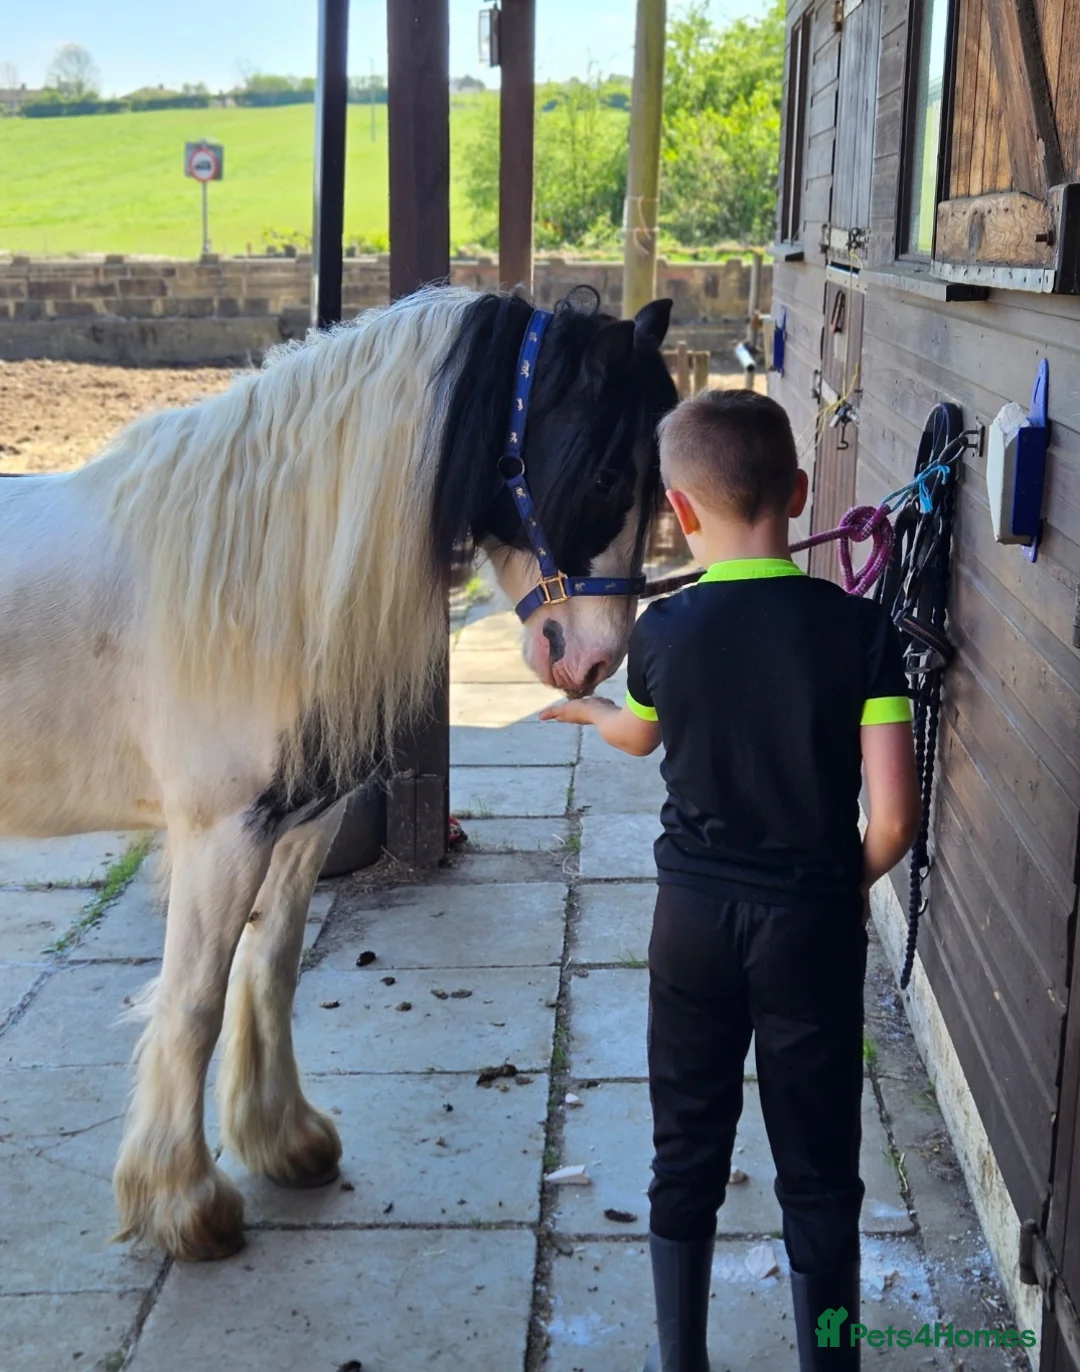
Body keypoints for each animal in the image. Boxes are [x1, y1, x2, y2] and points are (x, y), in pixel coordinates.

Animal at [0, 284, 676, 1262]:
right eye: (609, 478)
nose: (593, 662)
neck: (255, 572)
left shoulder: (299, 828)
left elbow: (272, 968)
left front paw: (284, 1141)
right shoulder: (218, 837)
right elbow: (194, 1004)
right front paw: (186, 1204)